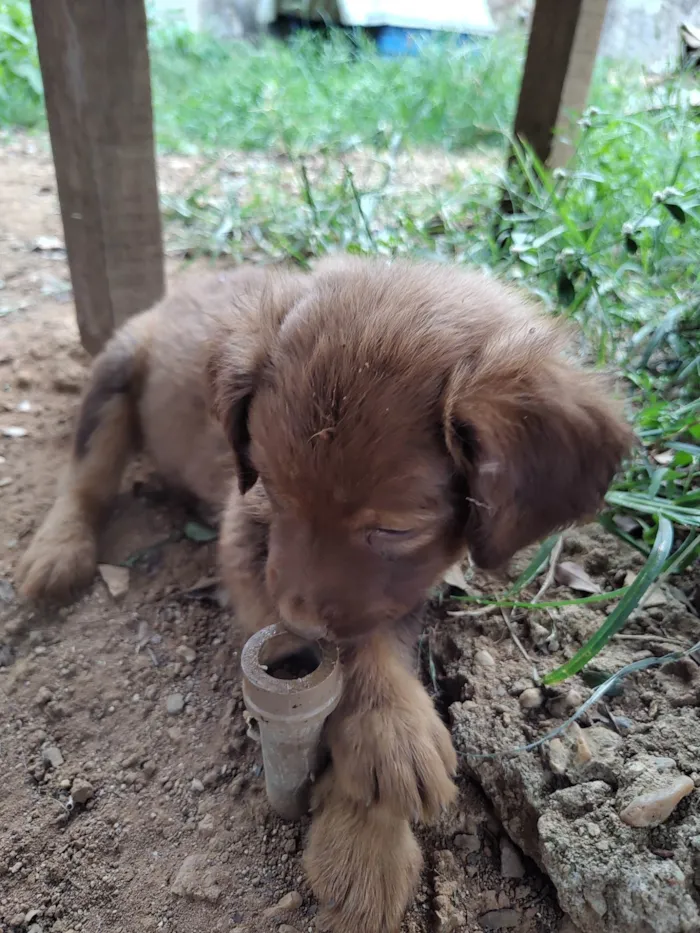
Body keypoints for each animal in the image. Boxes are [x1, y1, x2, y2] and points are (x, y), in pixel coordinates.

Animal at [19, 255, 636, 932]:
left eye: (394, 530)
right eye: (274, 488)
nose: (299, 622)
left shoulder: (400, 586)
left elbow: (369, 645)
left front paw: (374, 794)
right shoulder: (247, 538)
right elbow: (344, 664)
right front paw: (377, 788)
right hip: (115, 374)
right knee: (87, 472)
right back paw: (58, 548)